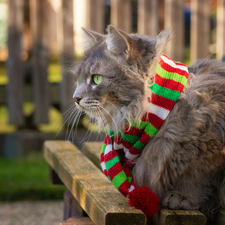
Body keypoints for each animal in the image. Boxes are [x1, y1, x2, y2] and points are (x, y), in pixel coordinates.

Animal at [72, 24, 225, 223]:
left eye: (96, 79)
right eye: (78, 80)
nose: (75, 98)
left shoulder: (210, 149)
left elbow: (197, 180)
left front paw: (182, 197)